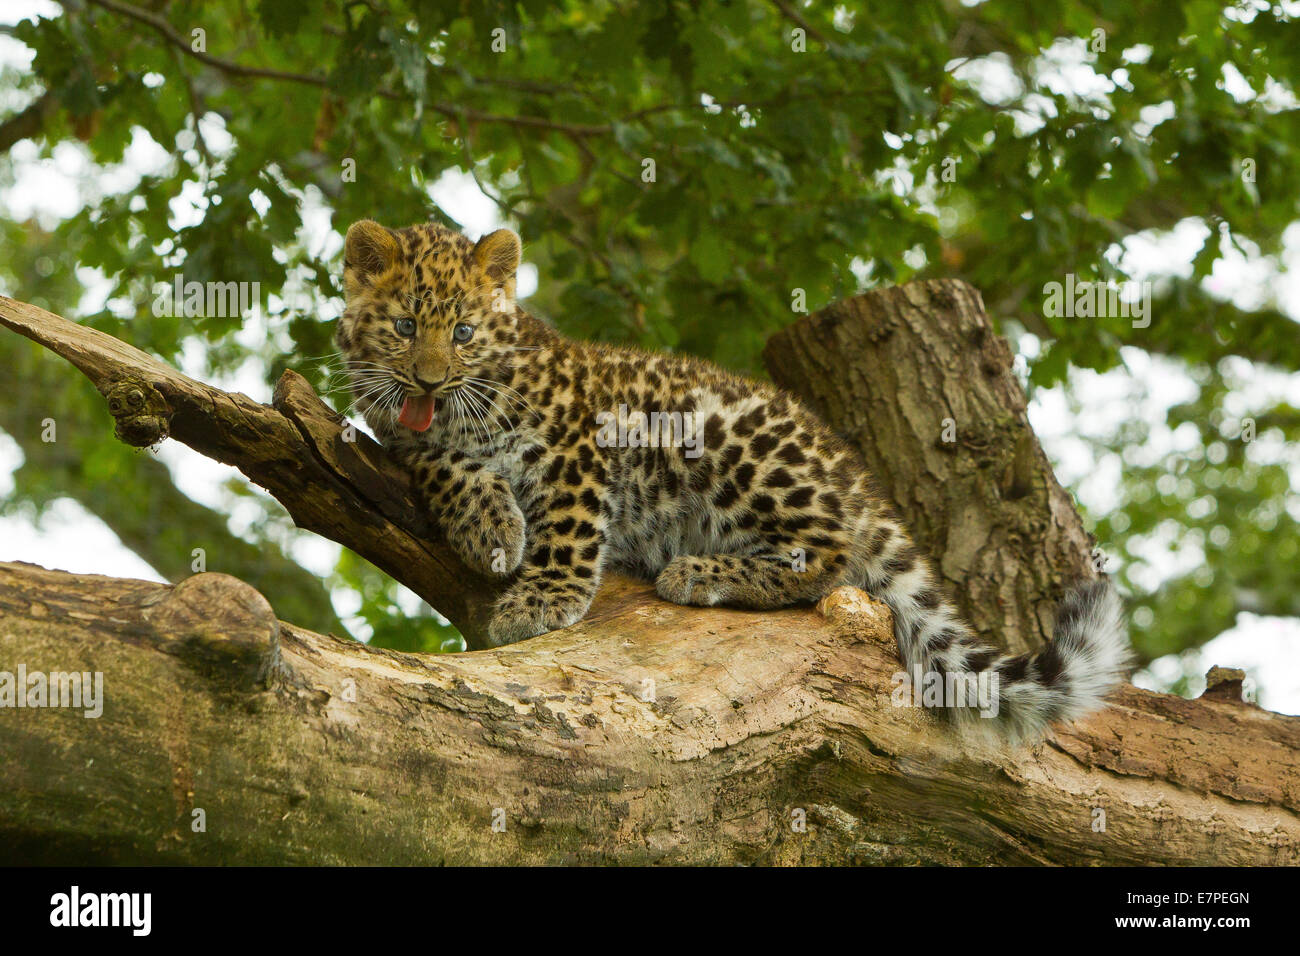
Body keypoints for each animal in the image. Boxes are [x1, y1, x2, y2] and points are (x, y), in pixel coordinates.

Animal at [335, 218, 1131, 740]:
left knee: (827, 557)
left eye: (463, 331)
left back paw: (700, 572)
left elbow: (565, 528)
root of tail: (859, 482)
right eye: (405, 327)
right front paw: (490, 525)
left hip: (726, 439)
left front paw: (539, 598)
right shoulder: (399, 433)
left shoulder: (579, 443)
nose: (428, 378)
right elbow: (441, 460)